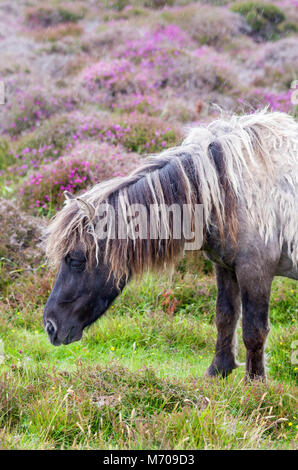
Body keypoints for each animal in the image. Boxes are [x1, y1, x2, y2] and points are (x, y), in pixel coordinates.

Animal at [43, 108, 296, 380]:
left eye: (77, 260)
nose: (50, 326)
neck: (228, 188)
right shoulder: (225, 267)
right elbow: (225, 317)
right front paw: (218, 370)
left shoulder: (255, 271)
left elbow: (254, 330)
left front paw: (255, 383)